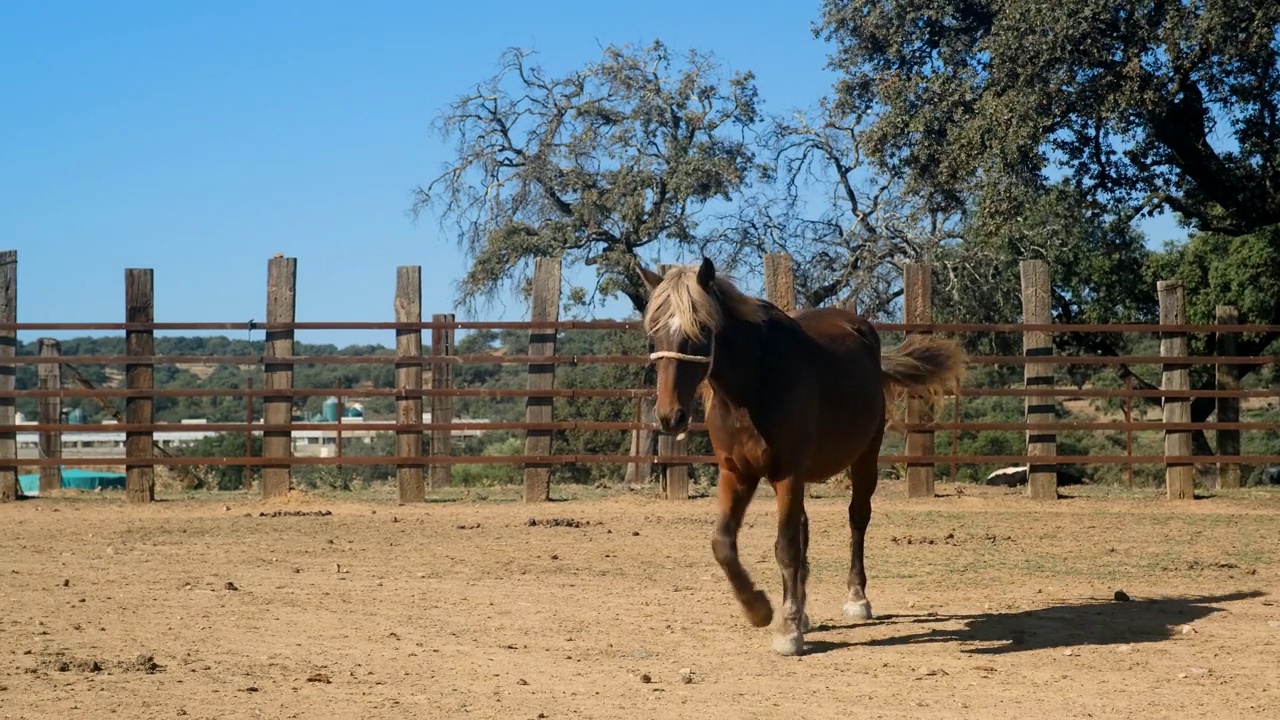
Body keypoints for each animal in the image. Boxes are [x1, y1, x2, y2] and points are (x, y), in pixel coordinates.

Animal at [640, 256, 962, 650]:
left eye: (700, 329)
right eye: (654, 334)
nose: (670, 416)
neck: (753, 386)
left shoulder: (787, 473)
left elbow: (787, 547)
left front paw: (788, 628)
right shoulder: (736, 474)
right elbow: (724, 544)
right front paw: (760, 608)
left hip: (864, 459)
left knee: (857, 519)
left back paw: (856, 599)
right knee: (805, 526)